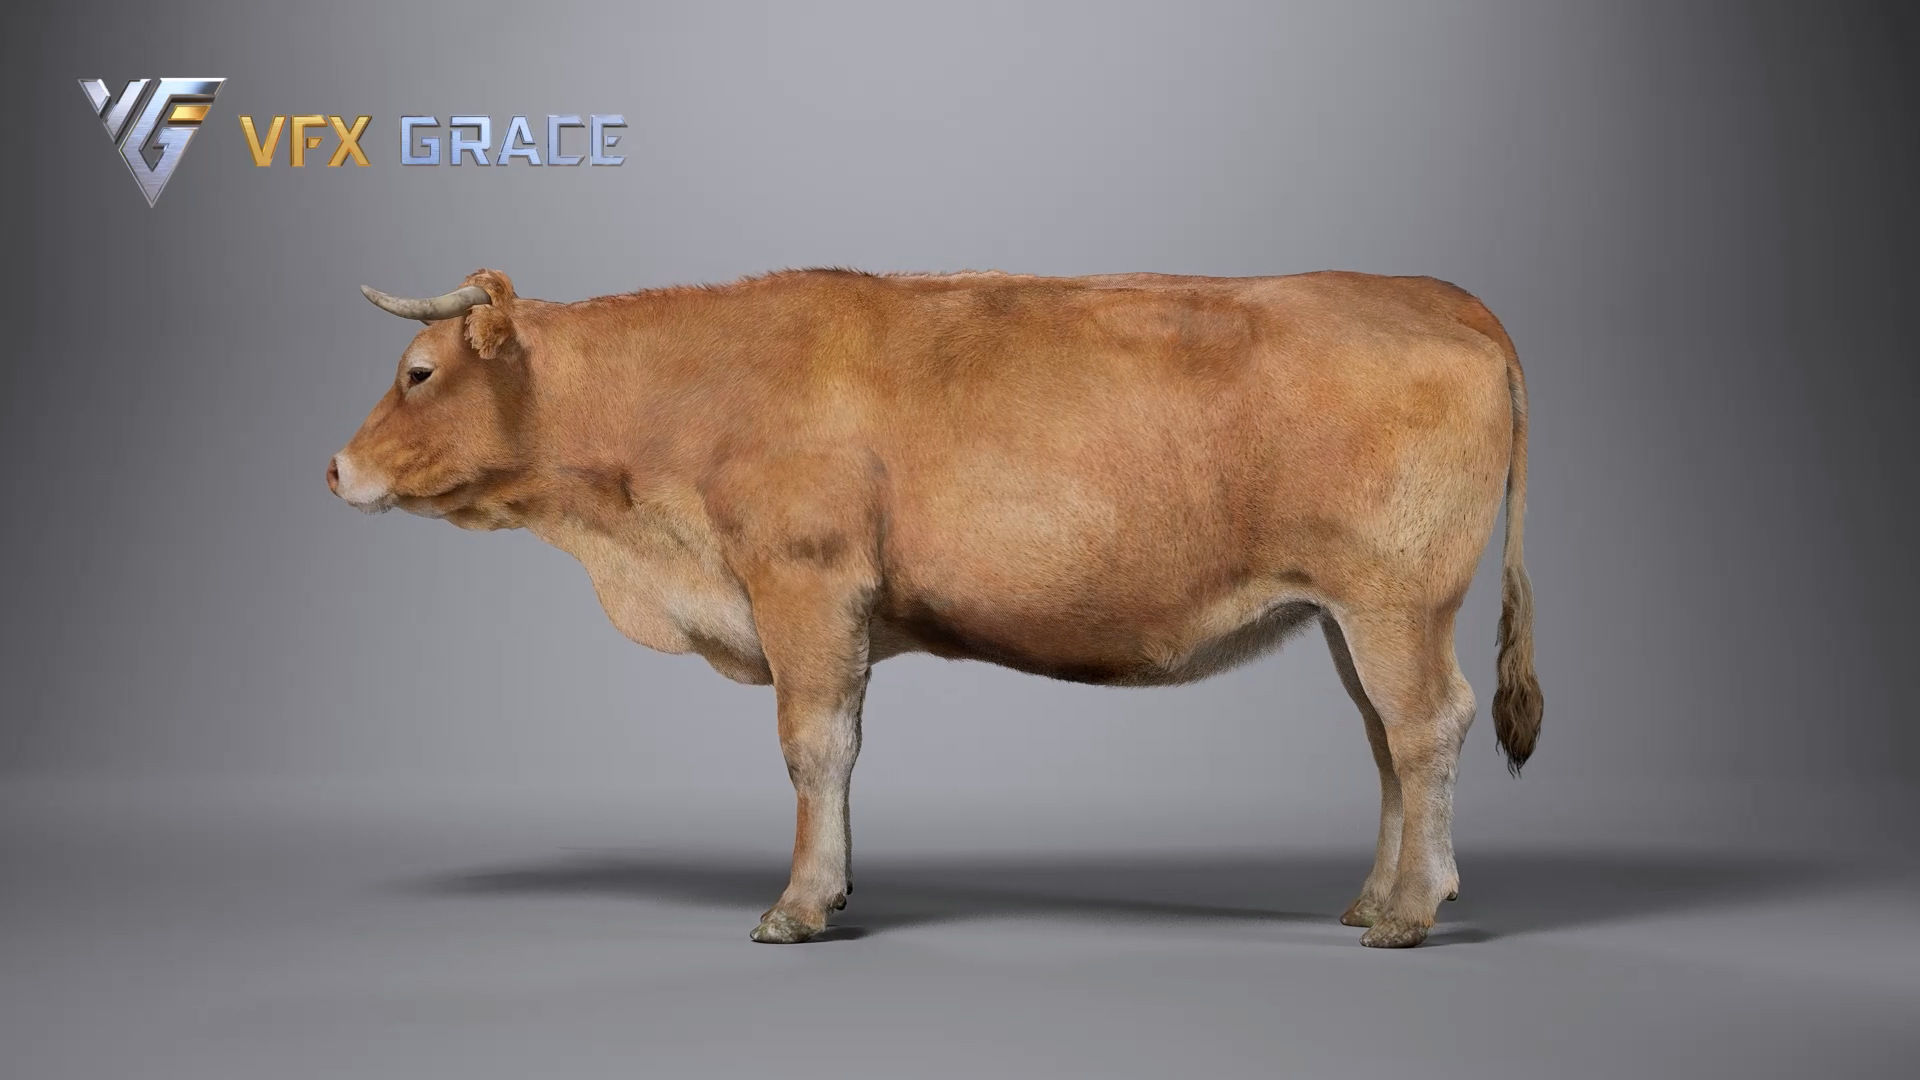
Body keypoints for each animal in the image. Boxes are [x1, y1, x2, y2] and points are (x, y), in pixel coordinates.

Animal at [328, 266, 1541, 948]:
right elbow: (838, 747)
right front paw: (836, 887)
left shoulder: (806, 583)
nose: (335, 469)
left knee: (1428, 725)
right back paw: (1373, 896)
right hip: (1348, 614)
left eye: (418, 371)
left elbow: (815, 745)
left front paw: (800, 904)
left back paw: (1412, 911)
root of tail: (1439, 297)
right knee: (1386, 739)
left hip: (1396, 599)